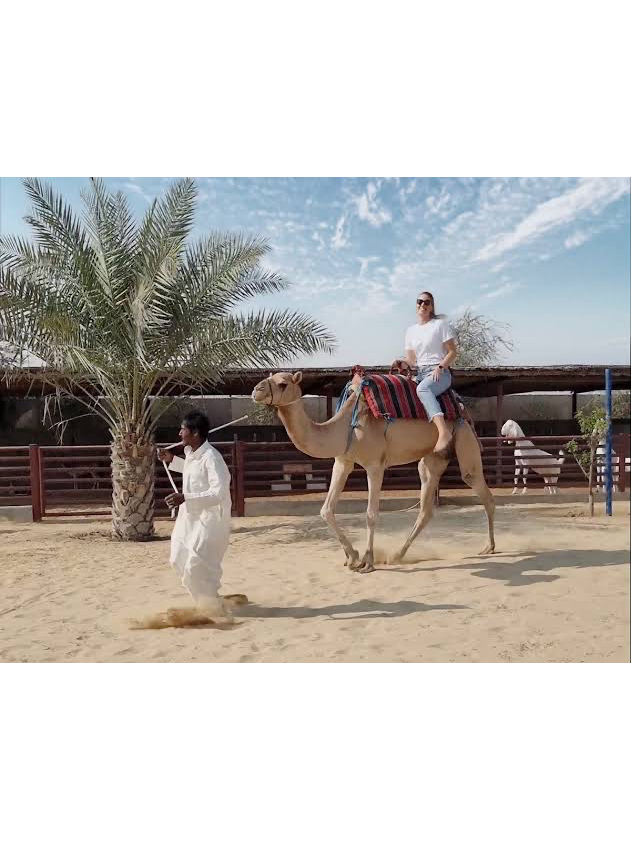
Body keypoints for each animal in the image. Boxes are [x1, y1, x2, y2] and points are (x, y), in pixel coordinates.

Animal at [251, 371, 495, 573]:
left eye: (283, 383)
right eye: (269, 377)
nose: (256, 390)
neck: (345, 427)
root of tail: (462, 407)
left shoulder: (375, 465)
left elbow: (370, 514)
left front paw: (366, 561)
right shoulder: (342, 462)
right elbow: (326, 510)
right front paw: (351, 557)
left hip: (463, 436)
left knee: (481, 490)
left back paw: (489, 547)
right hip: (433, 458)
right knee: (426, 506)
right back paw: (396, 556)